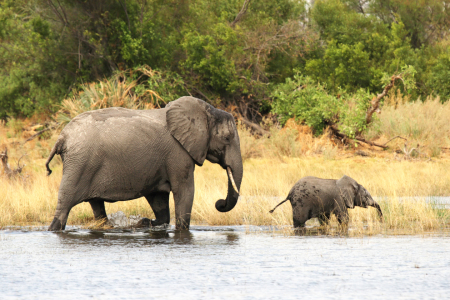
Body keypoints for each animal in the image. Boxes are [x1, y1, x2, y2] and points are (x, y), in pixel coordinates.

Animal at [45, 96, 243, 230]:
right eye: (227, 138)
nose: (219, 203)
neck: (206, 111)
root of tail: (62, 137)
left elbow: (158, 198)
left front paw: (144, 223)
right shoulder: (178, 154)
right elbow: (184, 191)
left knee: (96, 205)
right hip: (79, 164)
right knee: (65, 205)